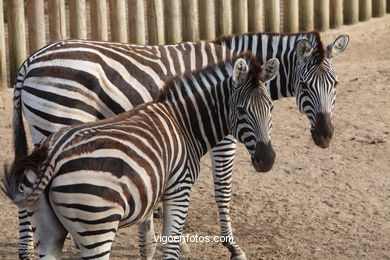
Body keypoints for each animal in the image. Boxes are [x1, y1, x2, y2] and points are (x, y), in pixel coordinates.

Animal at [11, 31, 348, 260]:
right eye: (304, 85)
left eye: (335, 84)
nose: (325, 135)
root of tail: (29, 60)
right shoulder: (223, 138)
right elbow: (222, 190)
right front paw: (232, 246)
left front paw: (166, 240)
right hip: (57, 121)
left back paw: (28, 248)